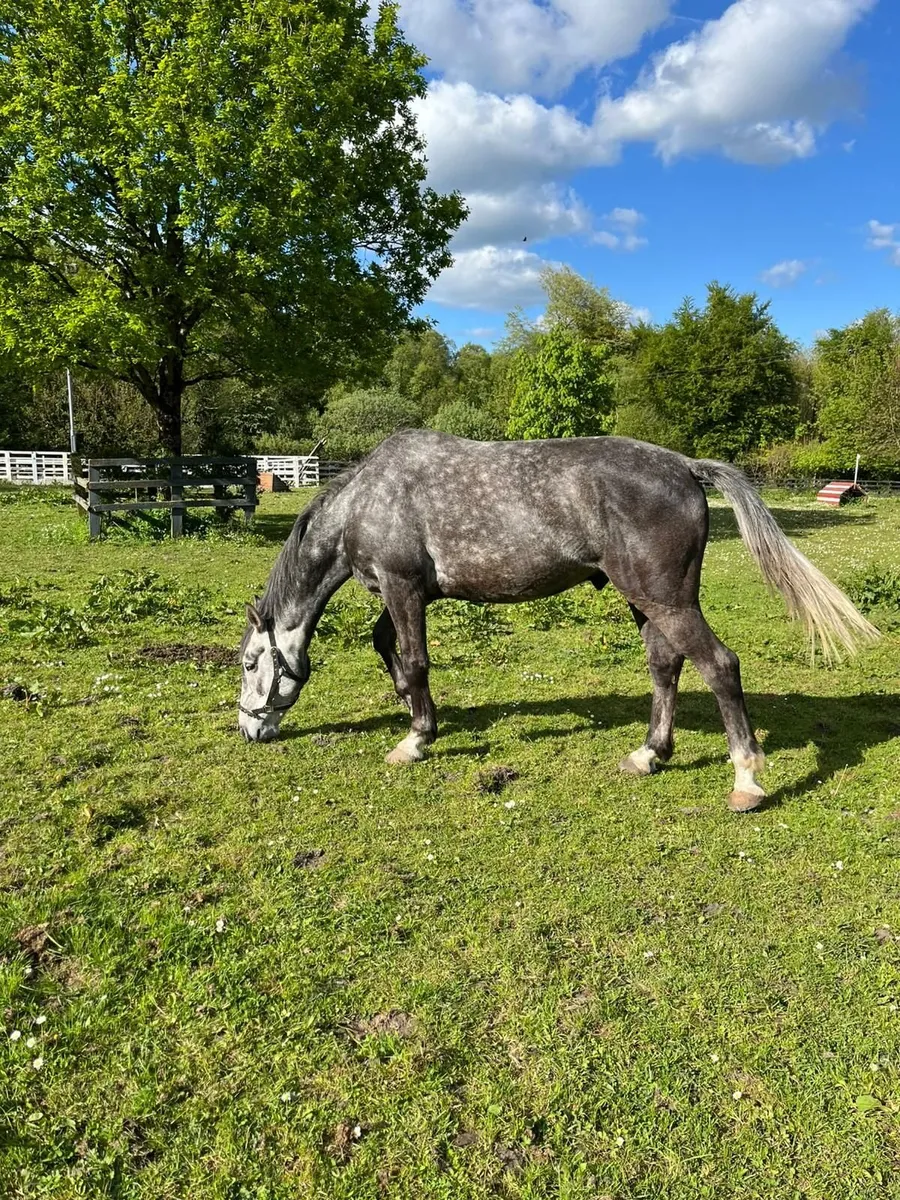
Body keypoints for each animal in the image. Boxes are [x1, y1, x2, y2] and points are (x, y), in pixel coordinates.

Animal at [238, 431, 878, 812]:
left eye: (248, 663)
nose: (249, 730)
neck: (365, 501)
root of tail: (684, 466)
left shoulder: (403, 588)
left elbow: (416, 661)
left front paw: (415, 738)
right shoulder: (406, 593)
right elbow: (385, 645)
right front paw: (416, 714)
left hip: (667, 600)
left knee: (719, 666)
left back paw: (746, 780)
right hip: (647, 601)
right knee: (665, 666)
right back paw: (649, 754)